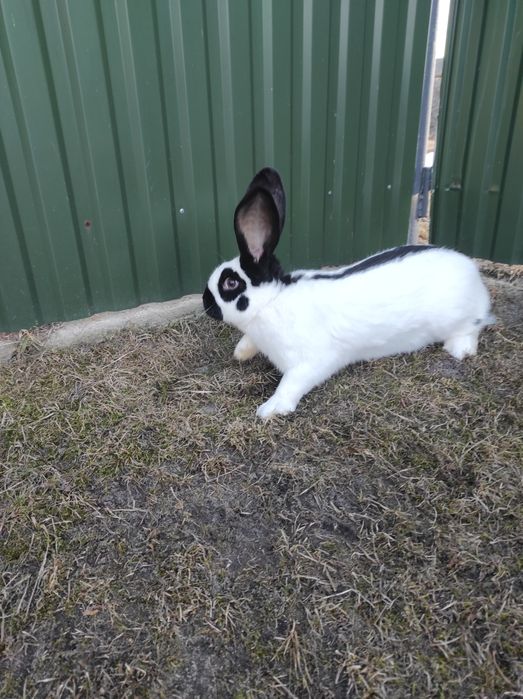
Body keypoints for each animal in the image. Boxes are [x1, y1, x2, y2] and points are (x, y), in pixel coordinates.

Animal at [203, 167, 493, 419]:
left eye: (230, 283)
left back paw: (459, 349)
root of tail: (470, 269)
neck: (273, 300)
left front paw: (270, 409)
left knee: (474, 326)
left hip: (457, 317)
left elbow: (291, 383)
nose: (205, 302)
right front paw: (240, 352)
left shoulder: (312, 362)